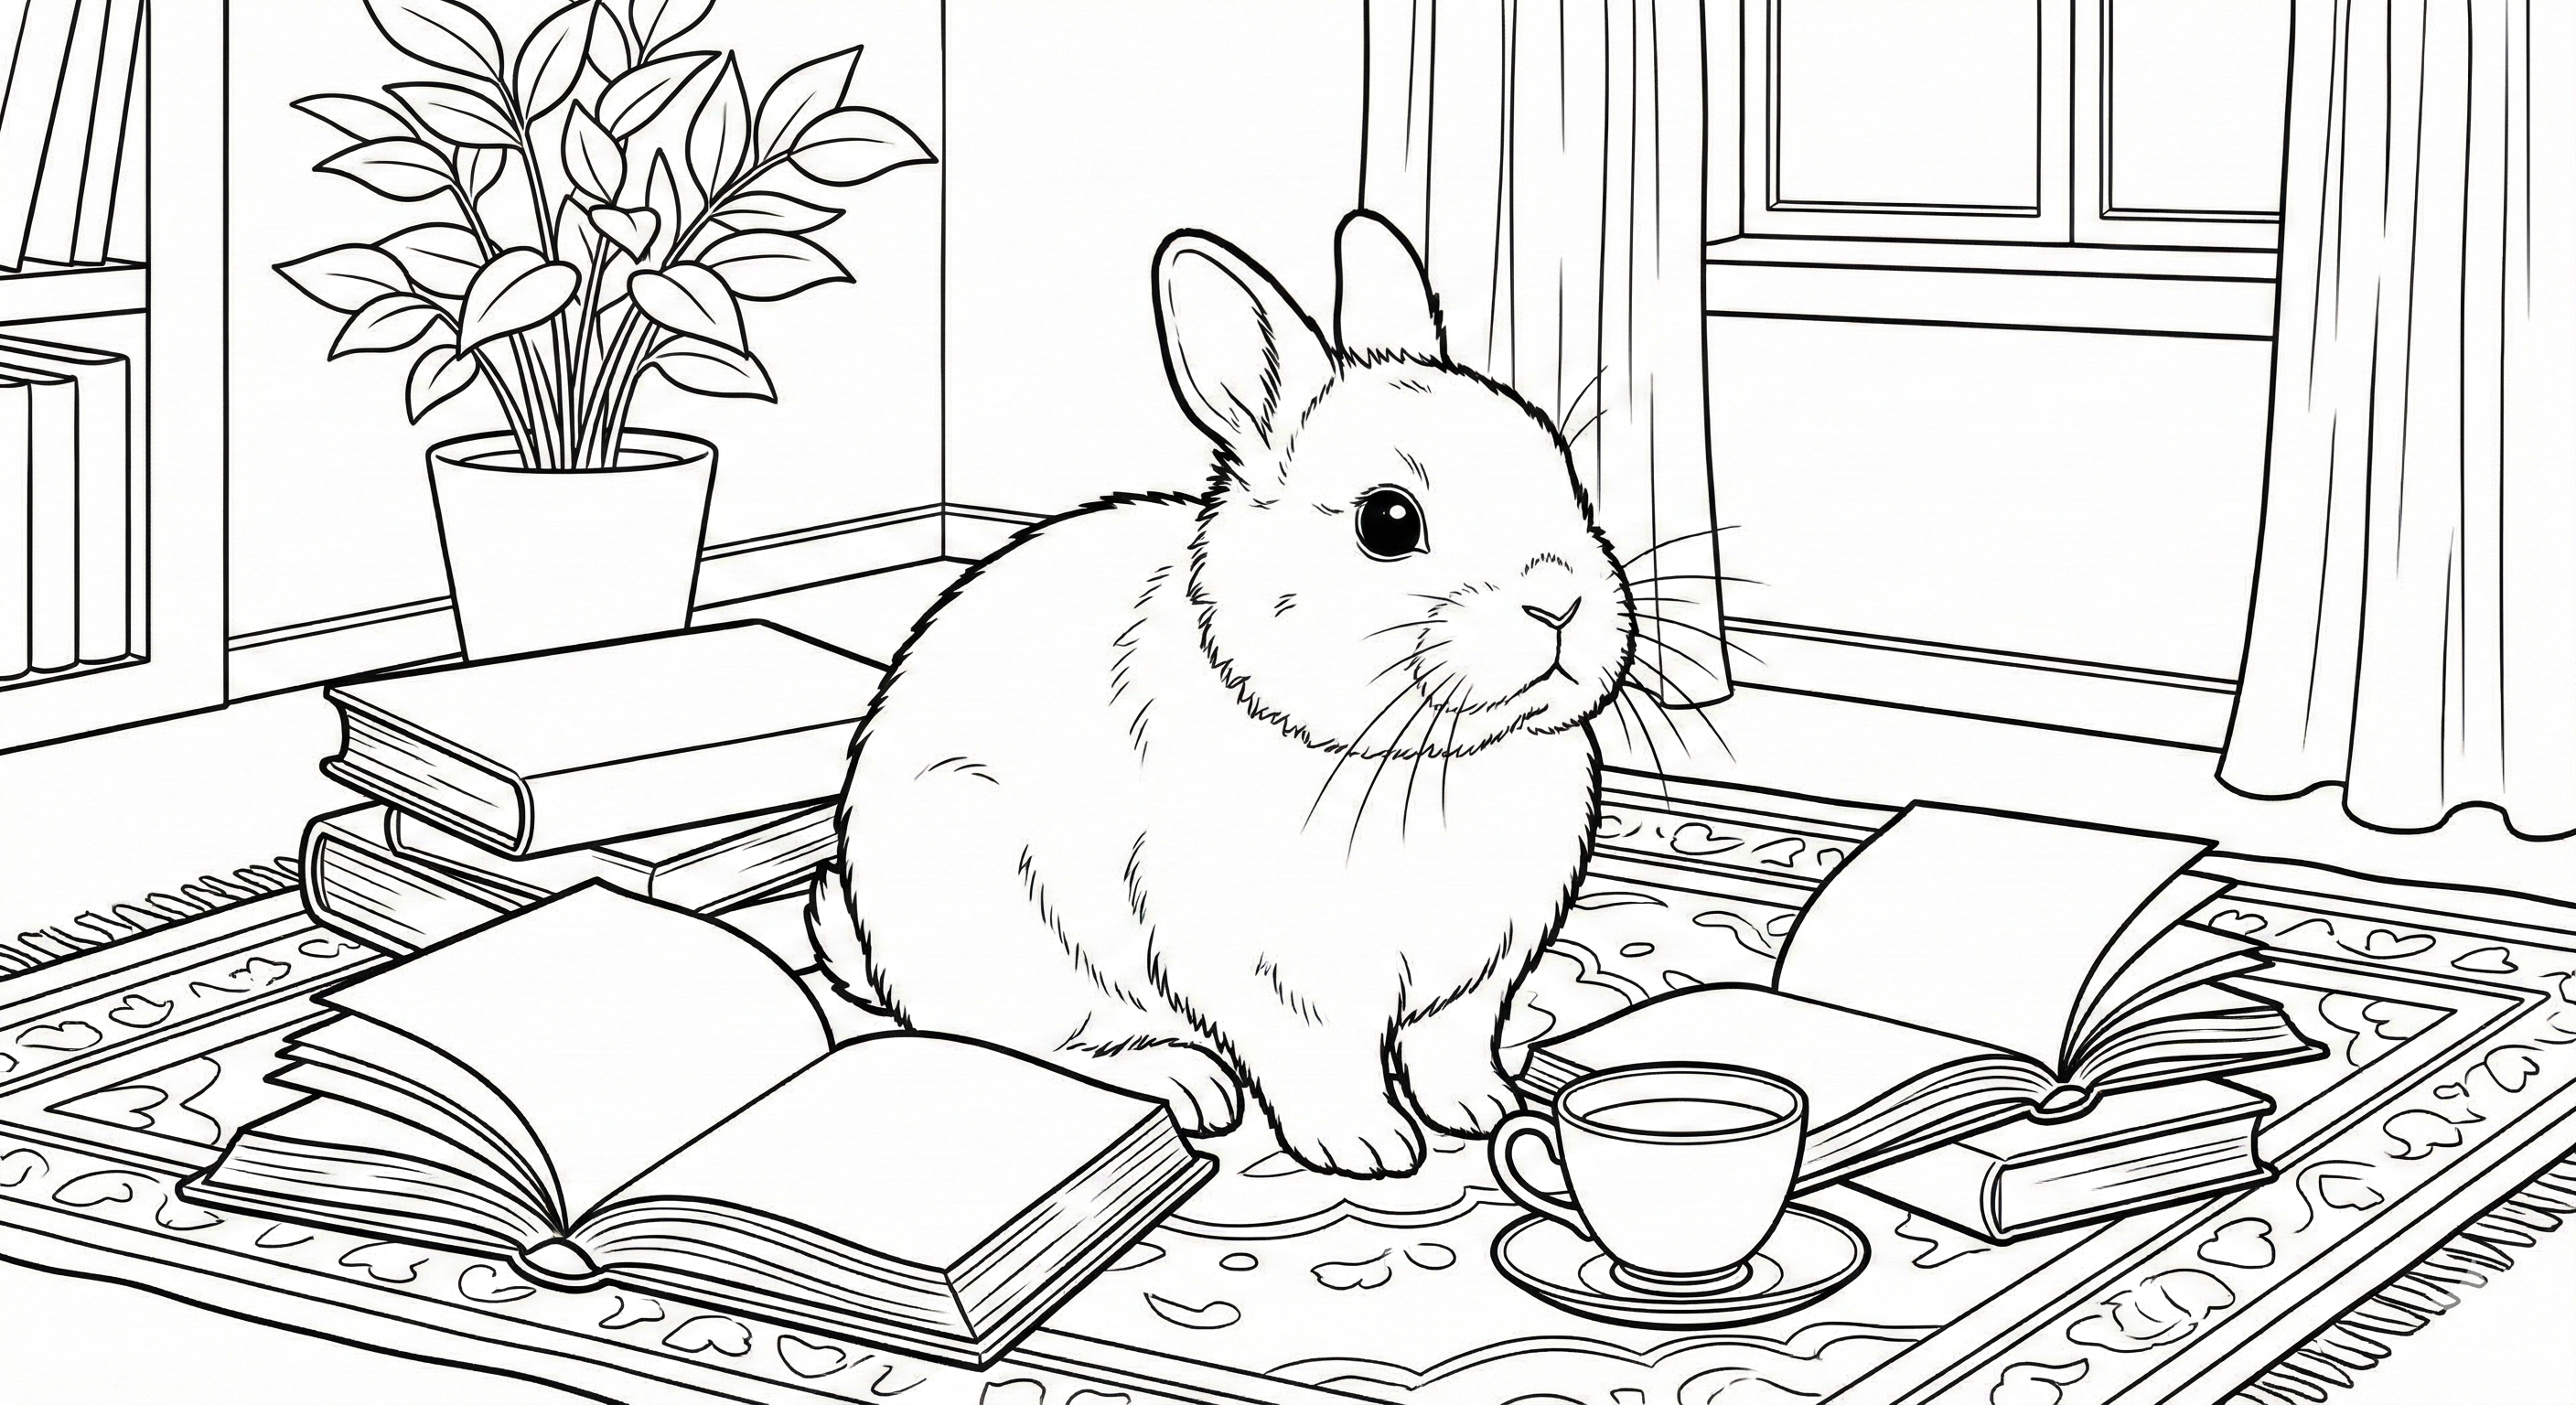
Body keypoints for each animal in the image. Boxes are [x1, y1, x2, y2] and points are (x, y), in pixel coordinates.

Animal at [808, 210, 1636, 1178]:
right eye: (1388, 521)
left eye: (1566, 475)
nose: (1561, 602)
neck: (1411, 752)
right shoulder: (1274, 978)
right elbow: (1320, 1060)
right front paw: (1369, 1148)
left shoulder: (1473, 977)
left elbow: (1450, 1045)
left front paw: (1485, 1110)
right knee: (1027, 1042)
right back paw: (1187, 1085)